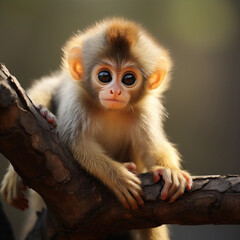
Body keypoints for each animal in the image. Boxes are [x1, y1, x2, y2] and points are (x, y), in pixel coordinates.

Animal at [0, 17, 191, 239]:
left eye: (128, 79)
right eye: (104, 76)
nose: (115, 91)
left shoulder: (144, 111)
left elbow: (153, 147)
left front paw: (170, 171)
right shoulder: (77, 100)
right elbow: (75, 143)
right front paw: (119, 178)